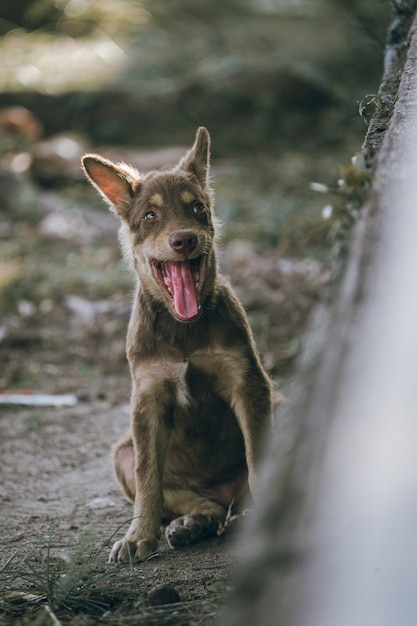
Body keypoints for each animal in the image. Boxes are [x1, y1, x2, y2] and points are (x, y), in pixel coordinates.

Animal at [81, 127, 272, 560]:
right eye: (150, 216)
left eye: (198, 208)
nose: (183, 240)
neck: (183, 328)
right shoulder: (147, 398)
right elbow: (148, 478)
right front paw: (138, 537)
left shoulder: (249, 384)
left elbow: (258, 460)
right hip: (123, 453)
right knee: (206, 504)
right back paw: (191, 524)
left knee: (239, 495)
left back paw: (241, 515)